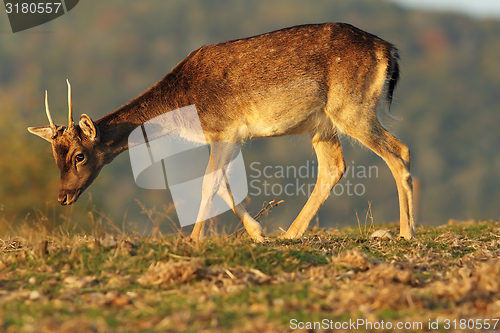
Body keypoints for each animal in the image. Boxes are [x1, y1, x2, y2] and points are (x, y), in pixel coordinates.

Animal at [29, 23, 416, 241]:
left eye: (79, 155)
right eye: (53, 157)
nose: (63, 197)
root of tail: (389, 51)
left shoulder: (224, 129)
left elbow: (207, 185)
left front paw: (194, 240)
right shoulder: (226, 137)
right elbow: (224, 186)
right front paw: (258, 234)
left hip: (351, 107)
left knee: (399, 151)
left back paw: (406, 231)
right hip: (321, 124)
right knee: (333, 167)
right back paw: (290, 234)